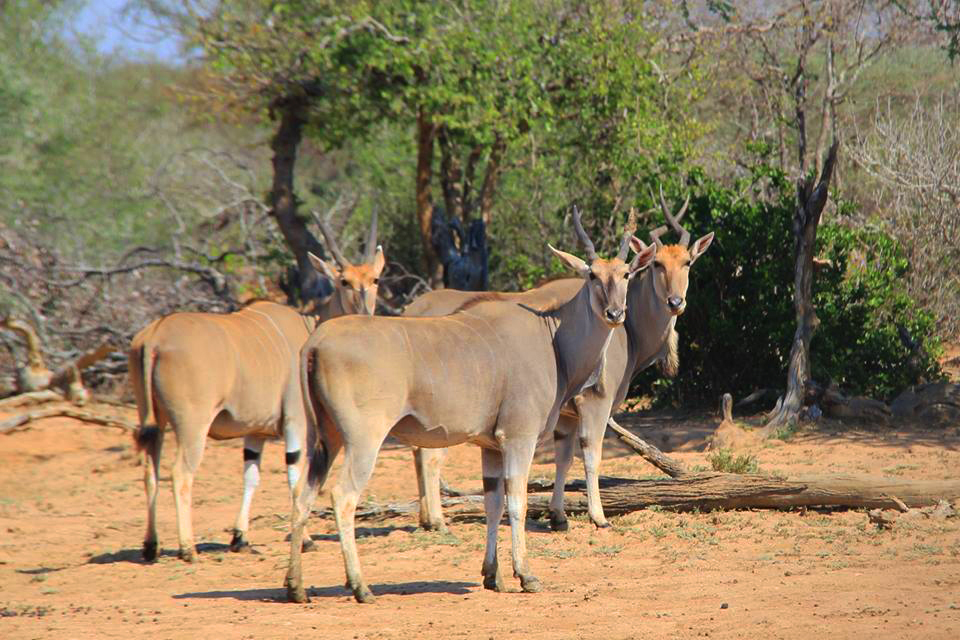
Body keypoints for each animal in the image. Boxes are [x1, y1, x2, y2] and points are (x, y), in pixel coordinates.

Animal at [129, 214, 384, 560]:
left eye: (375, 279)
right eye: (344, 281)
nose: (365, 313)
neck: (309, 326)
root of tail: (156, 334)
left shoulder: (256, 433)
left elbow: (251, 476)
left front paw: (240, 537)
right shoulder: (296, 423)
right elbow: (294, 477)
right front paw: (305, 540)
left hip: (155, 421)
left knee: (149, 470)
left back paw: (151, 546)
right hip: (192, 425)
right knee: (181, 473)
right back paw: (187, 548)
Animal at [284, 208, 656, 604]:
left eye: (626, 274)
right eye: (591, 275)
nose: (615, 313)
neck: (552, 339)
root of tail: (316, 342)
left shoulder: (490, 447)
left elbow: (493, 504)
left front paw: (493, 575)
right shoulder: (518, 438)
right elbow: (517, 502)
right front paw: (526, 575)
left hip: (326, 439)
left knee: (302, 494)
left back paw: (296, 586)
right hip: (363, 440)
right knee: (343, 497)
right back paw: (360, 586)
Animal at [406, 189, 712, 528]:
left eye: (687, 262)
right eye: (657, 264)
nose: (675, 302)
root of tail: (414, 309)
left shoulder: (566, 414)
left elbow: (563, 457)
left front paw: (558, 515)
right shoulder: (594, 403)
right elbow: (591, 454)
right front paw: (597, 516)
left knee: (418, 451)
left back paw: (426, 517)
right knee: (430, 454)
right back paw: (437, 520)